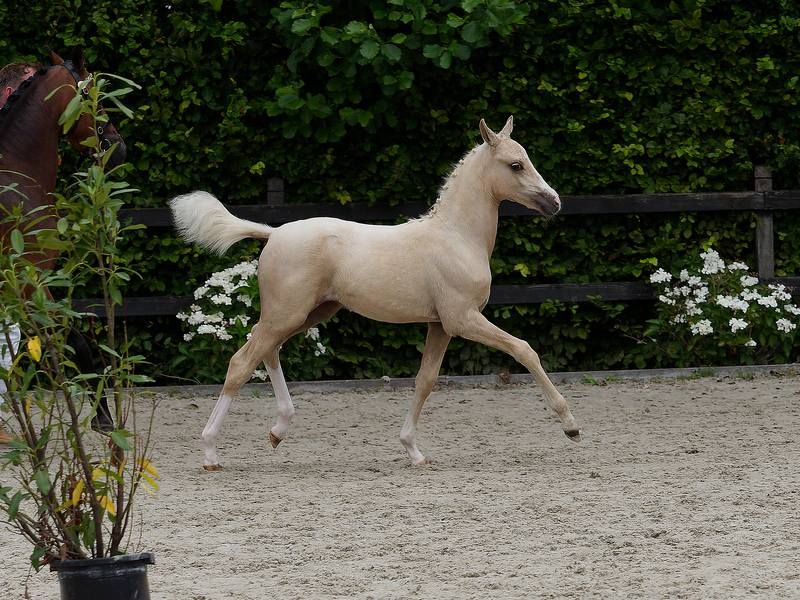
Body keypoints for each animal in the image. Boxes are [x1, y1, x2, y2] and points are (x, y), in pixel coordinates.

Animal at [170, 116, 582, 470]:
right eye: (516, 165)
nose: (555, 203)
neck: (457, 237)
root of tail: (274, 233)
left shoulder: (440, 326)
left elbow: (425, 381)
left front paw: (413, 451)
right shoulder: (463, 319)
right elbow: (524, 350)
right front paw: (570, 425)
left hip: (307, 313)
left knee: (266, 350)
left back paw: (278, 430)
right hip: (287, 313)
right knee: (242, 363)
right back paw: (211, 452)